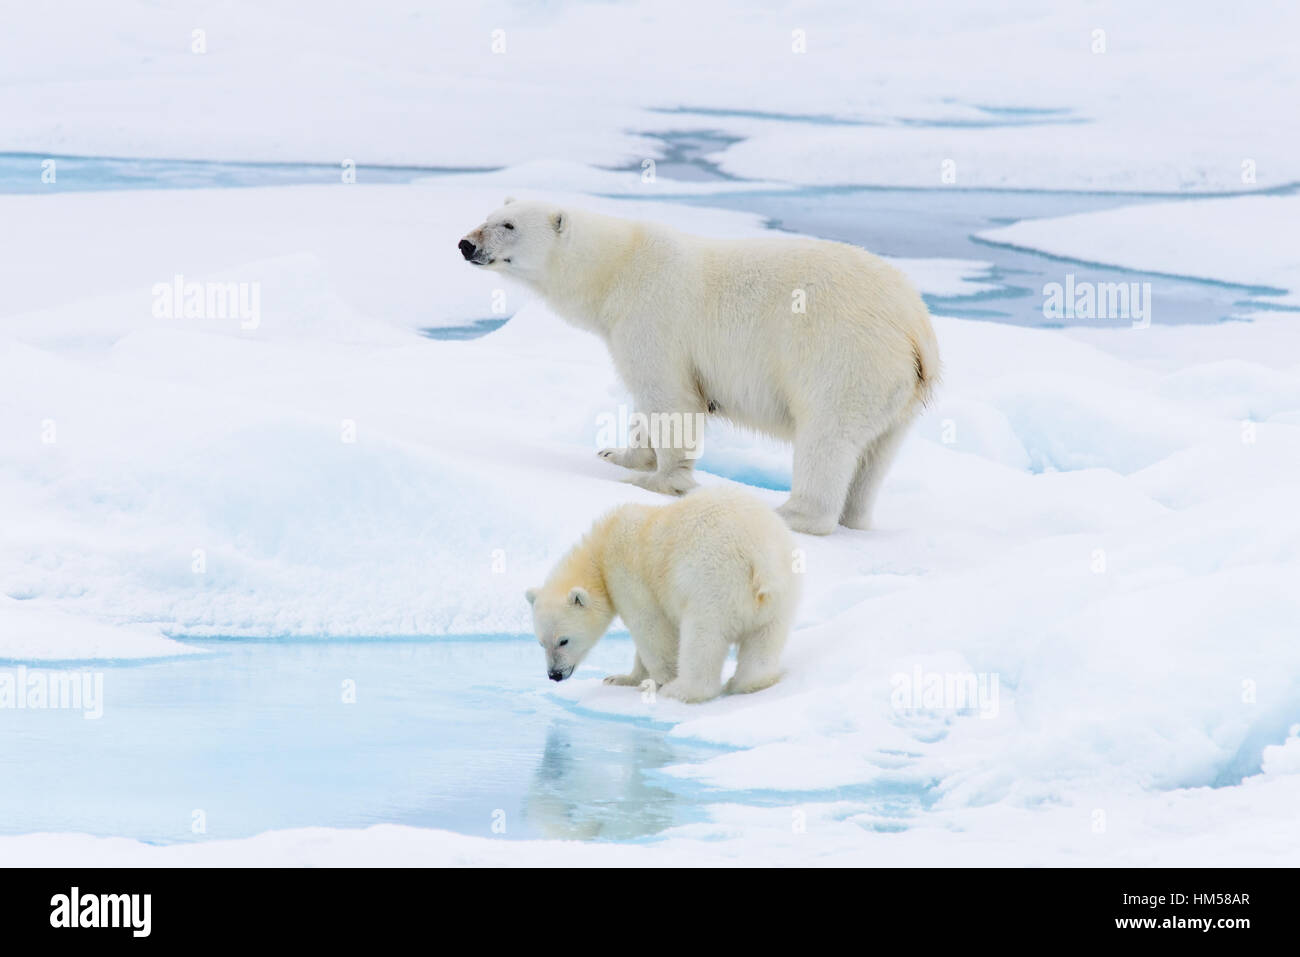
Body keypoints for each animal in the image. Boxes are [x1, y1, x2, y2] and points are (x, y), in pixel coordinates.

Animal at [462, 198, 941, 535]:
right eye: (489, 215)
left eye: (509, 225)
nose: (467, 243)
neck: (618, 267)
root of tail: (915, 329)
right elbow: (644, 402)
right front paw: (618, 454)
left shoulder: (653, 314)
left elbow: (670, 397)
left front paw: (658, 483)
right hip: (897, 393)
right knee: (875, 456)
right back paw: (853, 517)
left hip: (845, 358)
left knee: (827, 438)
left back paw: (791, 513)